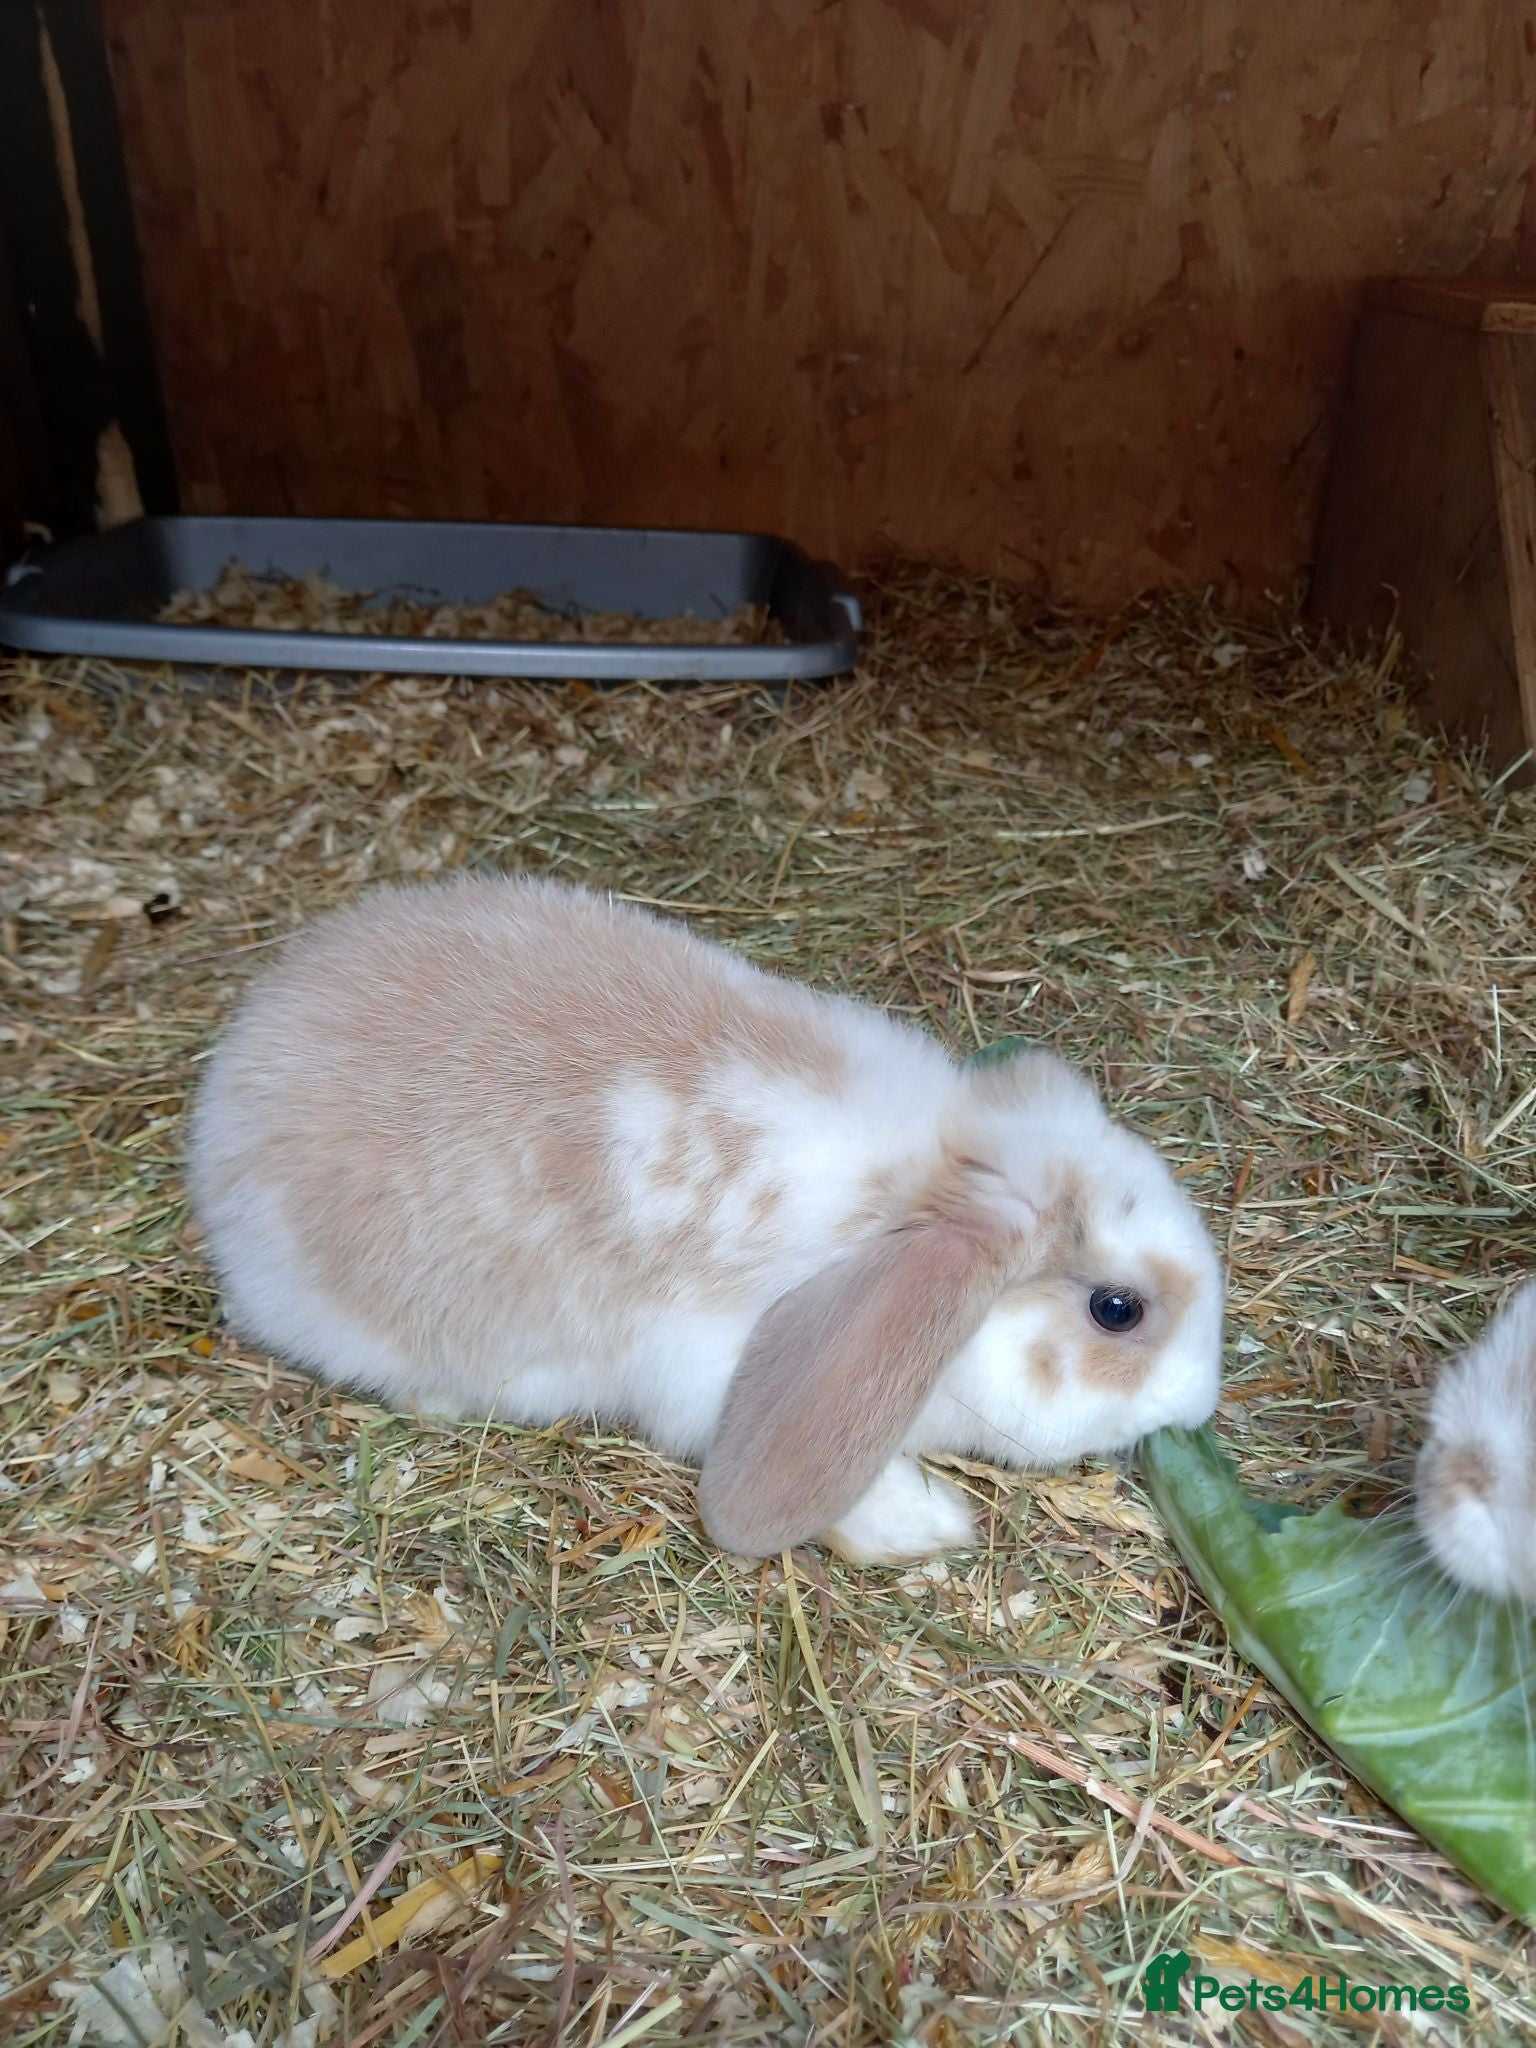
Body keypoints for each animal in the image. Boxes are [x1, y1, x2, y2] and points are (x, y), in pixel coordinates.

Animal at [186, 872, 1225, 1564]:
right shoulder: (711, 1379)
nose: (1199, 1403)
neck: (909, 1193)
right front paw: (926, 1525)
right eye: (1118, 1311)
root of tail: (229, 1083)